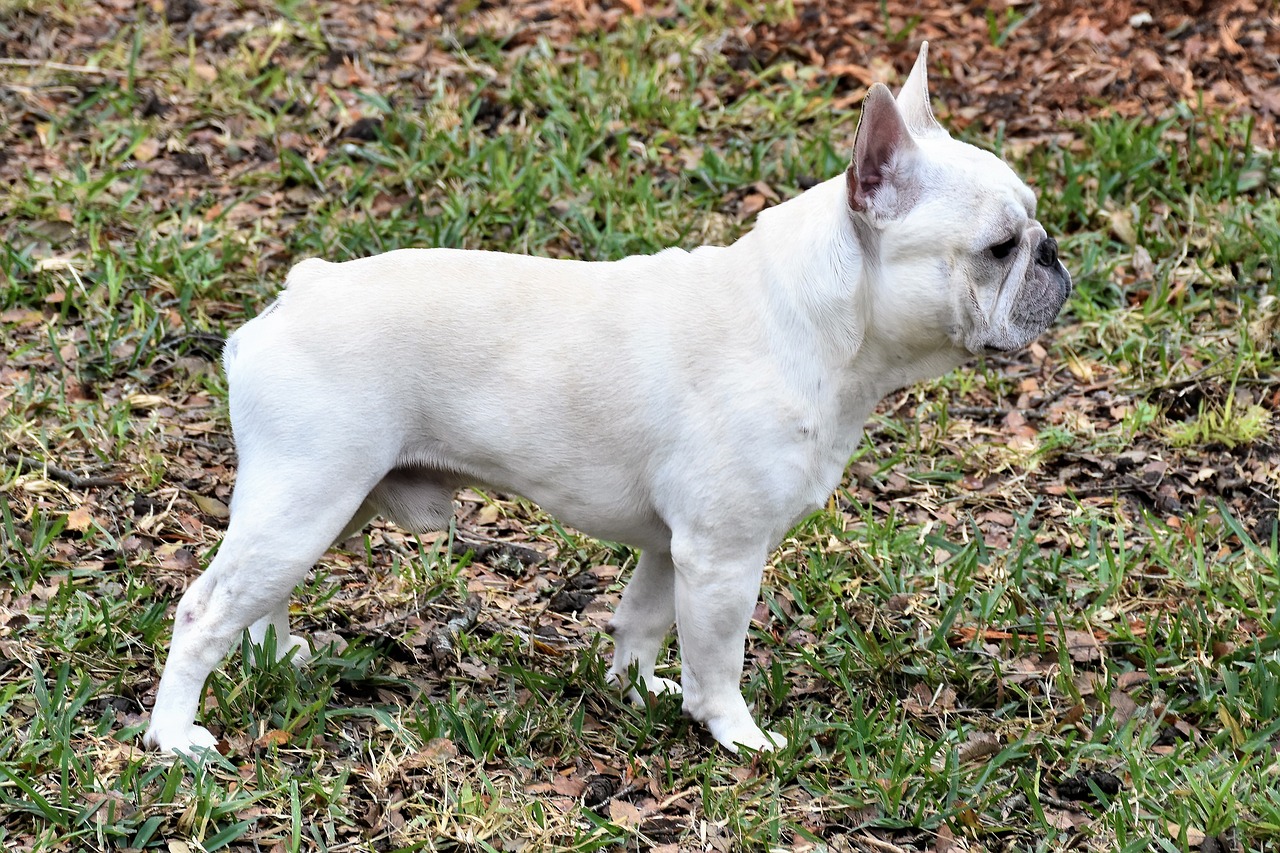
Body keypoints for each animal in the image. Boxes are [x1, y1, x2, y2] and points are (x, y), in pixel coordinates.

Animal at [145, 43, 1075, 753]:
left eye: (1030, 228)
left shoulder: (673, 549)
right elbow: (718, 658)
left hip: (329, 504)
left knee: (262, 595)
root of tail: (296, 292)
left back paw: (277, 657)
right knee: (202, 610)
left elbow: (642, 622)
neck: (810, 321)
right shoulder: (723, 556)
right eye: (999, 247)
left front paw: (638, 692)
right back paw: (173, 739)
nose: (1053, 253)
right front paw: (735, 734)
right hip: (307, 496)